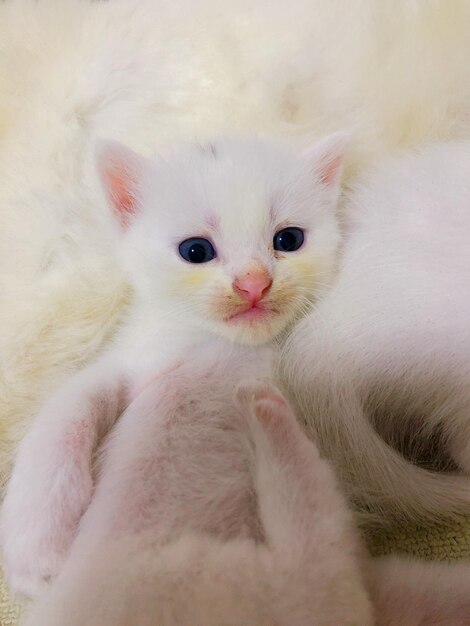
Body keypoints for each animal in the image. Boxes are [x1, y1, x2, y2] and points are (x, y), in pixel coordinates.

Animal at [0, 130, 348, 596]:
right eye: (195, 250)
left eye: (288, 240)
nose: (254, 283)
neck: (210, 342)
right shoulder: (129, 360)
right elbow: (64, 415)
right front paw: (35, 550)